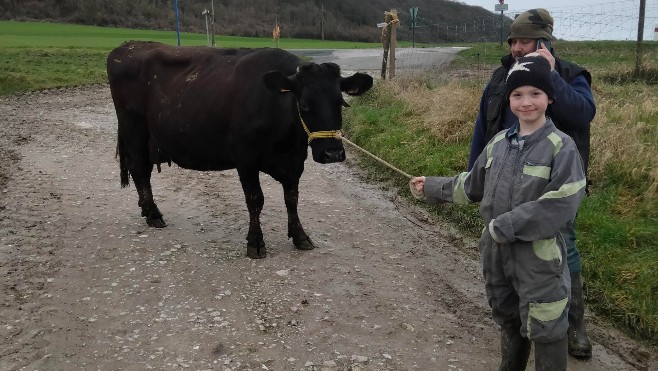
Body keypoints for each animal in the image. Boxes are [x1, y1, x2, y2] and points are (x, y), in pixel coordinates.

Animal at [108, 41, 374, 258]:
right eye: (305, 104)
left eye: (341, 103)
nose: (333, 154)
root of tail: (127, 46)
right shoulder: (245, 157)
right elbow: (255, 199)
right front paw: (255, 242)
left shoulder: (295, 159)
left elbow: (292, 198)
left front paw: (300, 236)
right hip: (133, 127)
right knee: (140, 169)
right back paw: (153, 214)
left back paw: (147, 210)